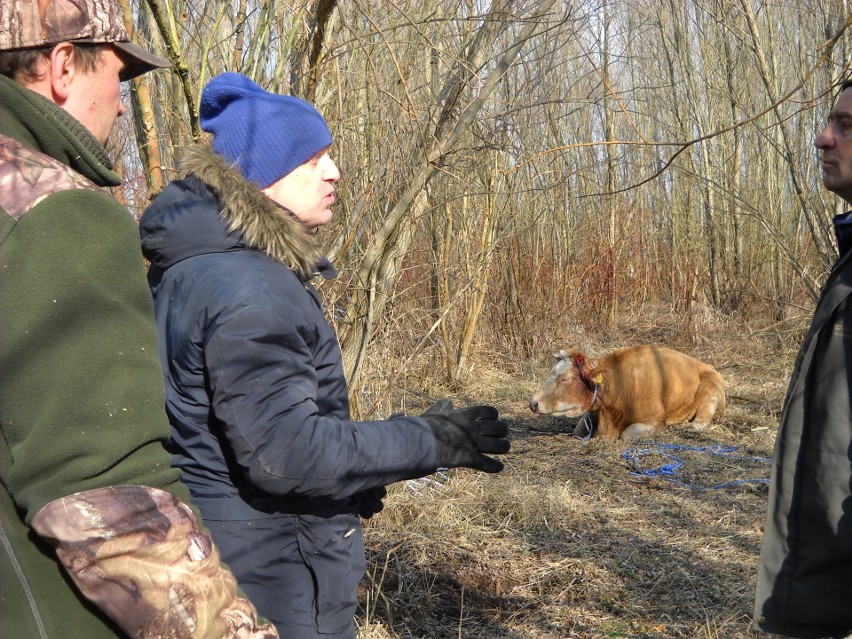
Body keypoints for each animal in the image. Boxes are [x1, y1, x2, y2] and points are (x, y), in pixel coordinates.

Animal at [532, 344, 724, 440]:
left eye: (565, 379)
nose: (533, 403)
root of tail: (705, 365)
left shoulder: (655, 420)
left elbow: (626, 435)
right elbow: (578, 430)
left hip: (711, 390)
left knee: (705, 413)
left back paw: (692, 426)